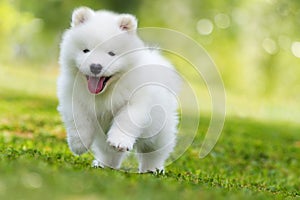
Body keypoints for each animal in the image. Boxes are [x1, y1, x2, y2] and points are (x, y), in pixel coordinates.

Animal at [57, 7, 182, 173]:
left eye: (111, 53)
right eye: (86, 50)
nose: (95, 66)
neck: (105, 92)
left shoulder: (136, 101)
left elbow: (126, 120)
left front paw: (119, 141)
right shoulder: (72, 97)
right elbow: (79, 118)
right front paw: (78, 144)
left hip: (159, 131)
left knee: (154, 152)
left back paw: (152, 169)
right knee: (108, 153)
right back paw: (104, 165)